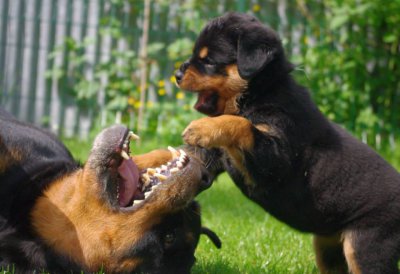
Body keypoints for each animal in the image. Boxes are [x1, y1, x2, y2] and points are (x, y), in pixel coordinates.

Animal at [177, 11, 400, 272]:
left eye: (209, 61)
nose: (177, 75)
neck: (258, 94)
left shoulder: (277, 156)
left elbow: (241, 124)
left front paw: (199, 127)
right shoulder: (214, 155)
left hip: (367, 244)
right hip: (328, 248)